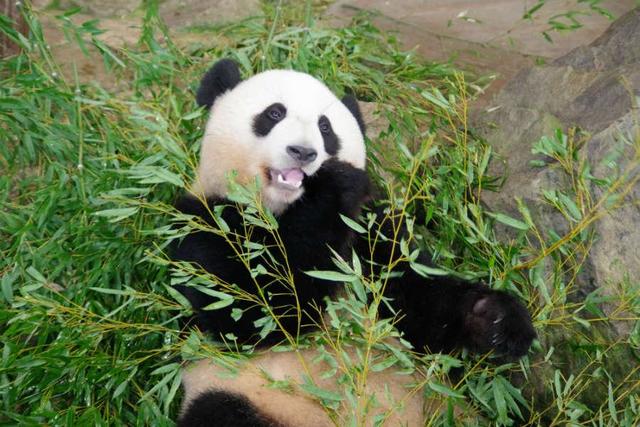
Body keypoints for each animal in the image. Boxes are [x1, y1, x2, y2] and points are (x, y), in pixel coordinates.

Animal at [170, 59, 536, 427]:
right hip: (251, 395)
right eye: (274, 113)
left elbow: (418, 307)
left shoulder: (370, 234)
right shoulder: (205, 221)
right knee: (223, 411)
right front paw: (333, 184)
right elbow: (259, 310)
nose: (303, 153)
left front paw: (498, 319)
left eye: (325, 128)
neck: (281, 212)